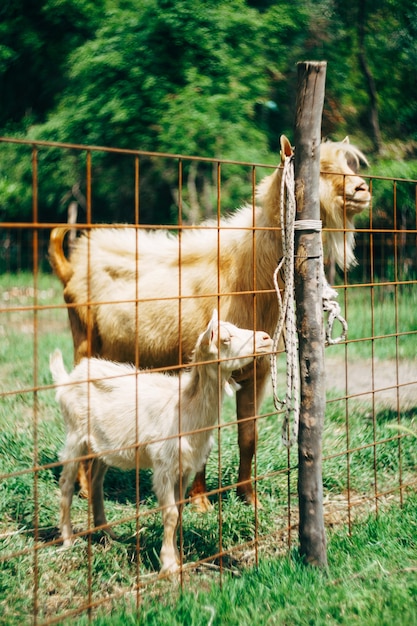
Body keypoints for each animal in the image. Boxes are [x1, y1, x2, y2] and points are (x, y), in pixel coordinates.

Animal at [49, 135, 370, 508]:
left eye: (348, 164)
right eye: (319, 167)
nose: (363, 188)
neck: (247, 268)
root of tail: (72, 266)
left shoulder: (258, 371)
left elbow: (248, 436)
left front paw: (249, 497)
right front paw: (200, 502)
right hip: (83, 340)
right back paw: (85, 489)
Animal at [50, 310, 272, 572]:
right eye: (226, 339)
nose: (266, 338)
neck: (185, 406)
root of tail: (68, 379)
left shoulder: (184, 469)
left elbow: (179, 510)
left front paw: (177, 557)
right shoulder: (163, 467)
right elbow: (171, 514)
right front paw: (168, 565)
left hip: (102, 445)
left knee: (96, 482)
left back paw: (108, 534)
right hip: (75, 434)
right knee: (66, 483)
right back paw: (67, 539)